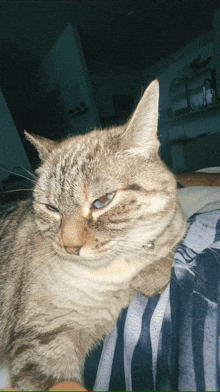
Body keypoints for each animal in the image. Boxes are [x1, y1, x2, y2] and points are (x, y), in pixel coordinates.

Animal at [0, 79, 186, 388]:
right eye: (52, 208)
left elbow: (164, 244)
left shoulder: (176, 224)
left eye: (102, 201)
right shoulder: (41, 342)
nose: (69, 247)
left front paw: (151, 273)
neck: (111, 276)